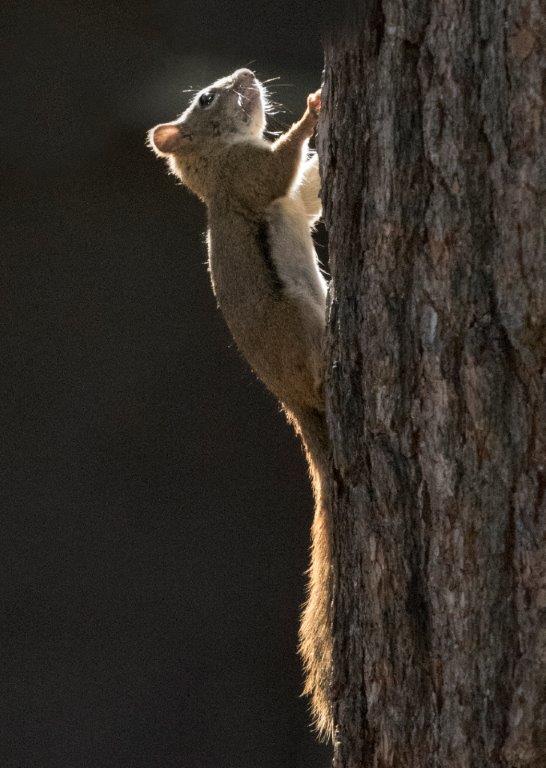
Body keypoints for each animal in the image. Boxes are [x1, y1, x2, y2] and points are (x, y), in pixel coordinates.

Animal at [148, 68, 332, 740]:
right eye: (206, 98)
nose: (248, 75)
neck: (217, 163)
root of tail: (292, 402)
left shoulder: (292, 201)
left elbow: (310, 197)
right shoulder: (248, 180)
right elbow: (278, 169)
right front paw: (311, 113)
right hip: (295, 323)